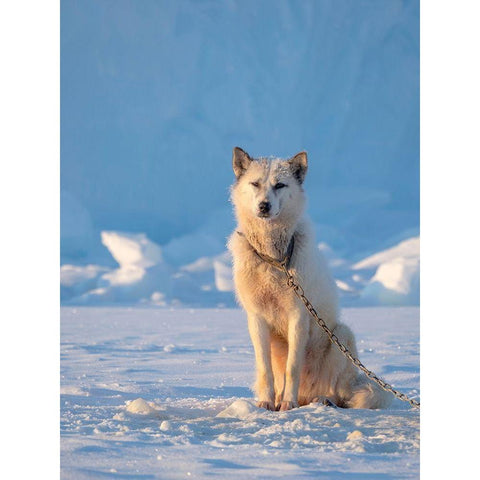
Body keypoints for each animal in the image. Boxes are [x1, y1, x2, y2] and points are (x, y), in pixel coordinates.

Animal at [228, 147, 390, 412]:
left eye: (280, 185)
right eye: (255, 184)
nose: (264, 206)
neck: (275, 261)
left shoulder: (298, 316)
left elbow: (292, 367)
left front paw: (287, 404)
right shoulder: (257, 318)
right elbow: (266, 370)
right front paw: (266, 403)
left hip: (341, 335)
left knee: (338, 393)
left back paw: (321, 400)